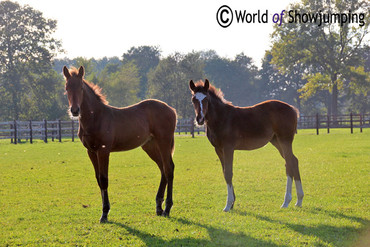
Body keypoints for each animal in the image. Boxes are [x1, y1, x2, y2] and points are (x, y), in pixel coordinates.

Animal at [189, 80, 304, 211]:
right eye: (193, 99)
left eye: (206, 99)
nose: (200, 119)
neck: (222, 118)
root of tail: (293, 109)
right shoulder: (218, 149)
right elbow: (224, 172)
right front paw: (232, 203)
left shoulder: (228, 148)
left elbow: (228, 173)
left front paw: (228, 205)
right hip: (276, 142)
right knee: (293, 161)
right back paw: (298, 200)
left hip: (285, 140)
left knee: (289, 163)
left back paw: (286, 201)